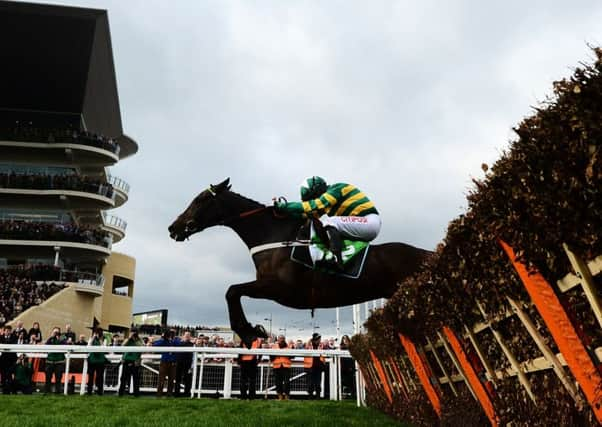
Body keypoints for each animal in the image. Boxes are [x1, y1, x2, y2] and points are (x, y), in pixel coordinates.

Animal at [169, 178, 432, 348]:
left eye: (201, 199)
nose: (173, 228)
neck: (274, 236)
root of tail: (428, 253)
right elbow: (233, 291)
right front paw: (253, 330)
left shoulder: (282, 289)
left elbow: (232, 291)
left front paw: (249, 332)